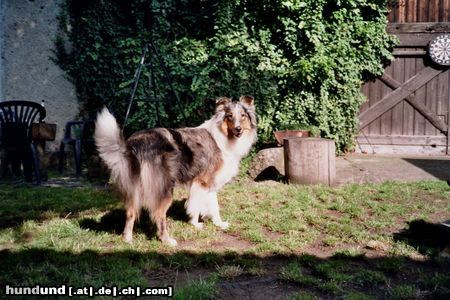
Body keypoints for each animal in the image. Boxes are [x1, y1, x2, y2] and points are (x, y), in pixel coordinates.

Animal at [95, 96, 256, 246]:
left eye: (243, 115)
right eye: (229, 116)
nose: (238, 129)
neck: (224, 136)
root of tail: (134, 144)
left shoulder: (207, 184)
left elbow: (210, 205)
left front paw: (214, 223)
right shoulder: (203, 181)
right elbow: (202, 205)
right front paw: (200, 224)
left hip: (136, 188)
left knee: (130, 212)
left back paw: (128, 240)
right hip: (164, 189)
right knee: (158, 215)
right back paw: (167, 240)